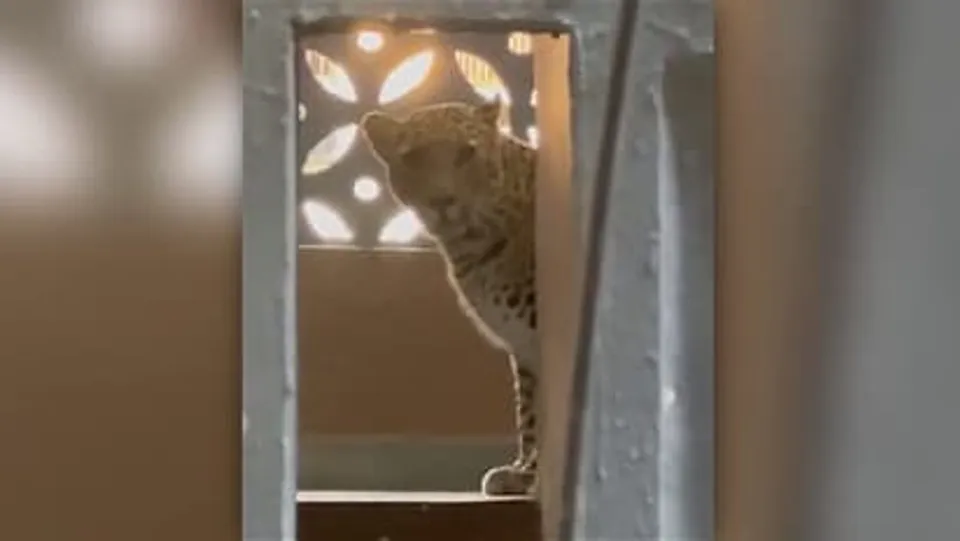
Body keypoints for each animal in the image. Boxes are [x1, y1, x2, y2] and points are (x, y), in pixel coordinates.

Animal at [359, 99, 541, 497]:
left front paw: (536, 474)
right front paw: (522, 473)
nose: (443, 200)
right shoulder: (525, 347)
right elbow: (530, 410)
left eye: (466, 153)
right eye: (413, 158)